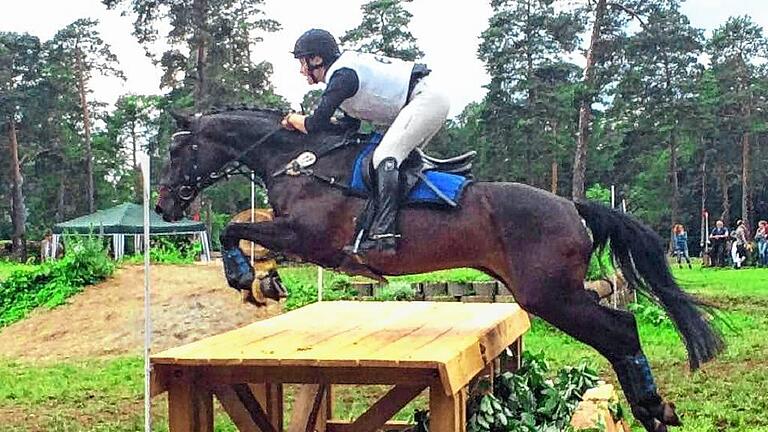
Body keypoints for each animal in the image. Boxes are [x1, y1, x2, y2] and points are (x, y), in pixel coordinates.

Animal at [154, 108, 720, 432]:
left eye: (179, 149)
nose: (163, 205)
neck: (301, 159)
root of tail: (572, 206)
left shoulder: (308, 237)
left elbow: (232, 227)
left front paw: (246, 280)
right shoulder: (295, 236)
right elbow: (243, 226)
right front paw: (262, 281)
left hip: (550, 295)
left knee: (620, 329)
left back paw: (653, 411)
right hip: (551, 293)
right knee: (619, 331)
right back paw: (654, 410)